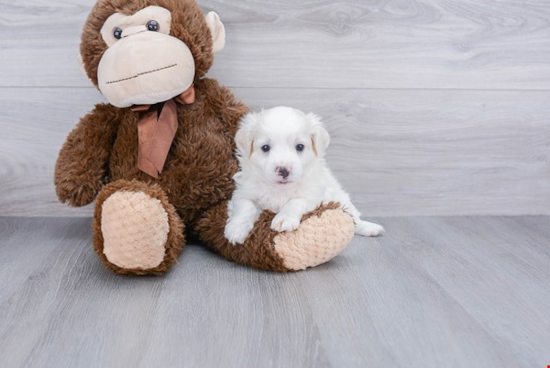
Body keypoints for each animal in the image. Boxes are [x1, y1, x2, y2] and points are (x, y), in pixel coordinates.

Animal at [224, 106, 384, 244]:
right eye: (265, 147)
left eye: (300, 147)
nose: (283, 170)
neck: (280, 188)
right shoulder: (244, 192)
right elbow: (245, 207)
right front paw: (235, 230)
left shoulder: (313, 196)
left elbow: (295, 201)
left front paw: (284, 219)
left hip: (342, 199)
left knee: (354, 219)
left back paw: (371, 228)